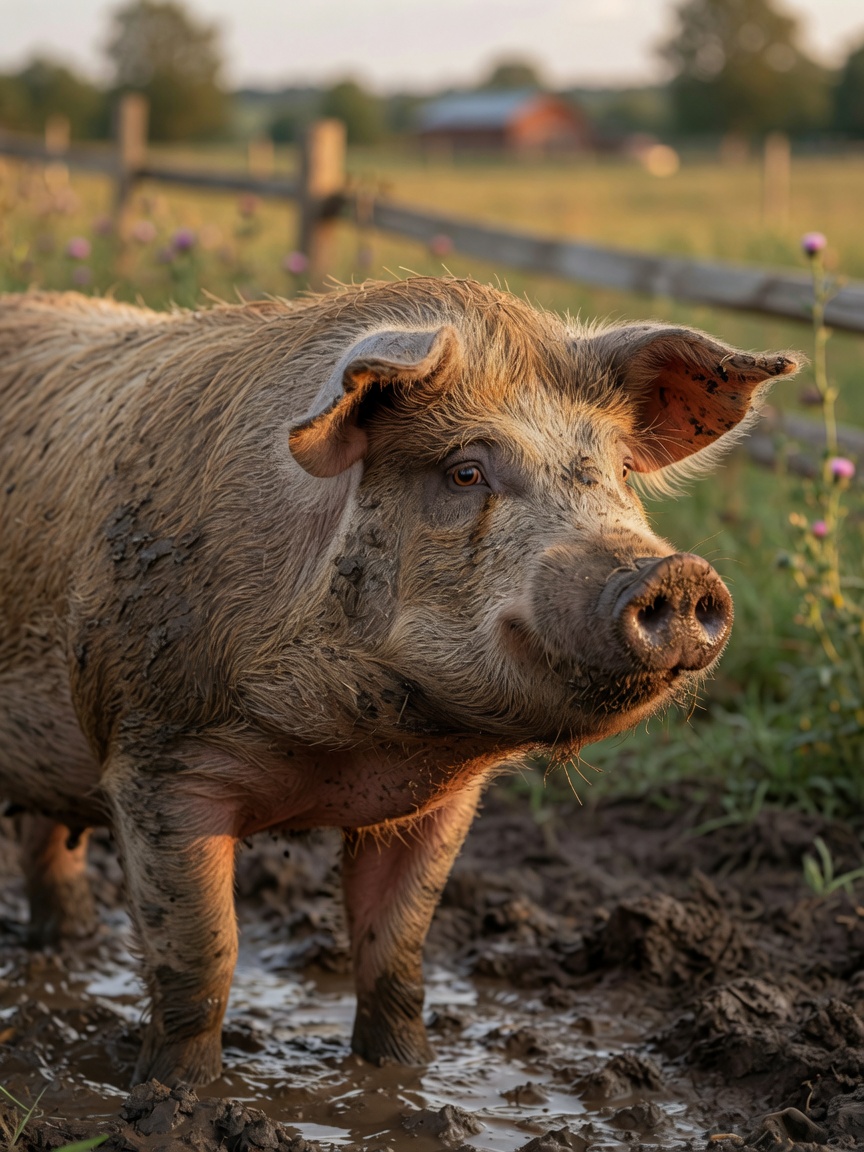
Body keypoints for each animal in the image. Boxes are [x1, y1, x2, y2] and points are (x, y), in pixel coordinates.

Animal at [0, 279, 799, 1086]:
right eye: (465, 471)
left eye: (619, 474)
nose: (675, 573)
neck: (346, 750)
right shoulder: (155, 756)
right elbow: (201, 958)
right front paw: (176, 1094)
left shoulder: (438, 803)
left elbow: (396, 950)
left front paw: (405, 1074)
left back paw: (68, 944)